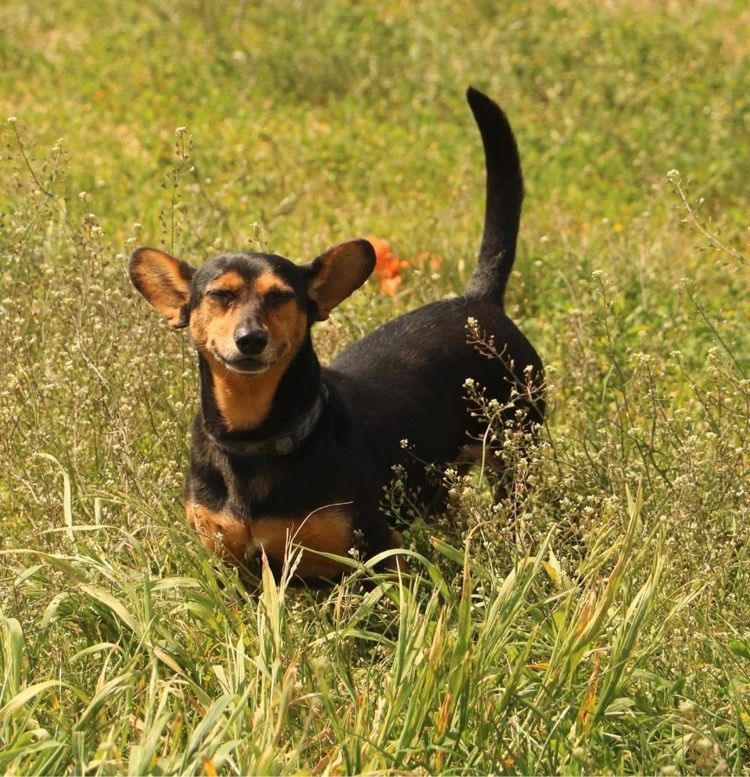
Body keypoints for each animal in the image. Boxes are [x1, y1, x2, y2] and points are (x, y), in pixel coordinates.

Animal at [131, 86, 548, 584]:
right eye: (219, 295)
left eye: (281, 297)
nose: (250, 339)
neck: (254, 440)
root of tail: (479, 299)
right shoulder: (234, 570)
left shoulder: (377, 553)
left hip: (517, 455)